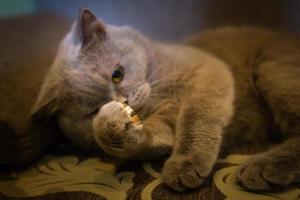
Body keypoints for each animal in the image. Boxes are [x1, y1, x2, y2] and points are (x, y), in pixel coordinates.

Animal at [31, 9, 298, 192]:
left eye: (117, 74)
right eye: (93, 111)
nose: (124, 101)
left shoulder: (207, 71)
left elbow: (195, 119)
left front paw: (184, 164)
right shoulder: (163, 124)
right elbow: (154, 136)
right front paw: (114, 126)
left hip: (272, 71)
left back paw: (261, 168)